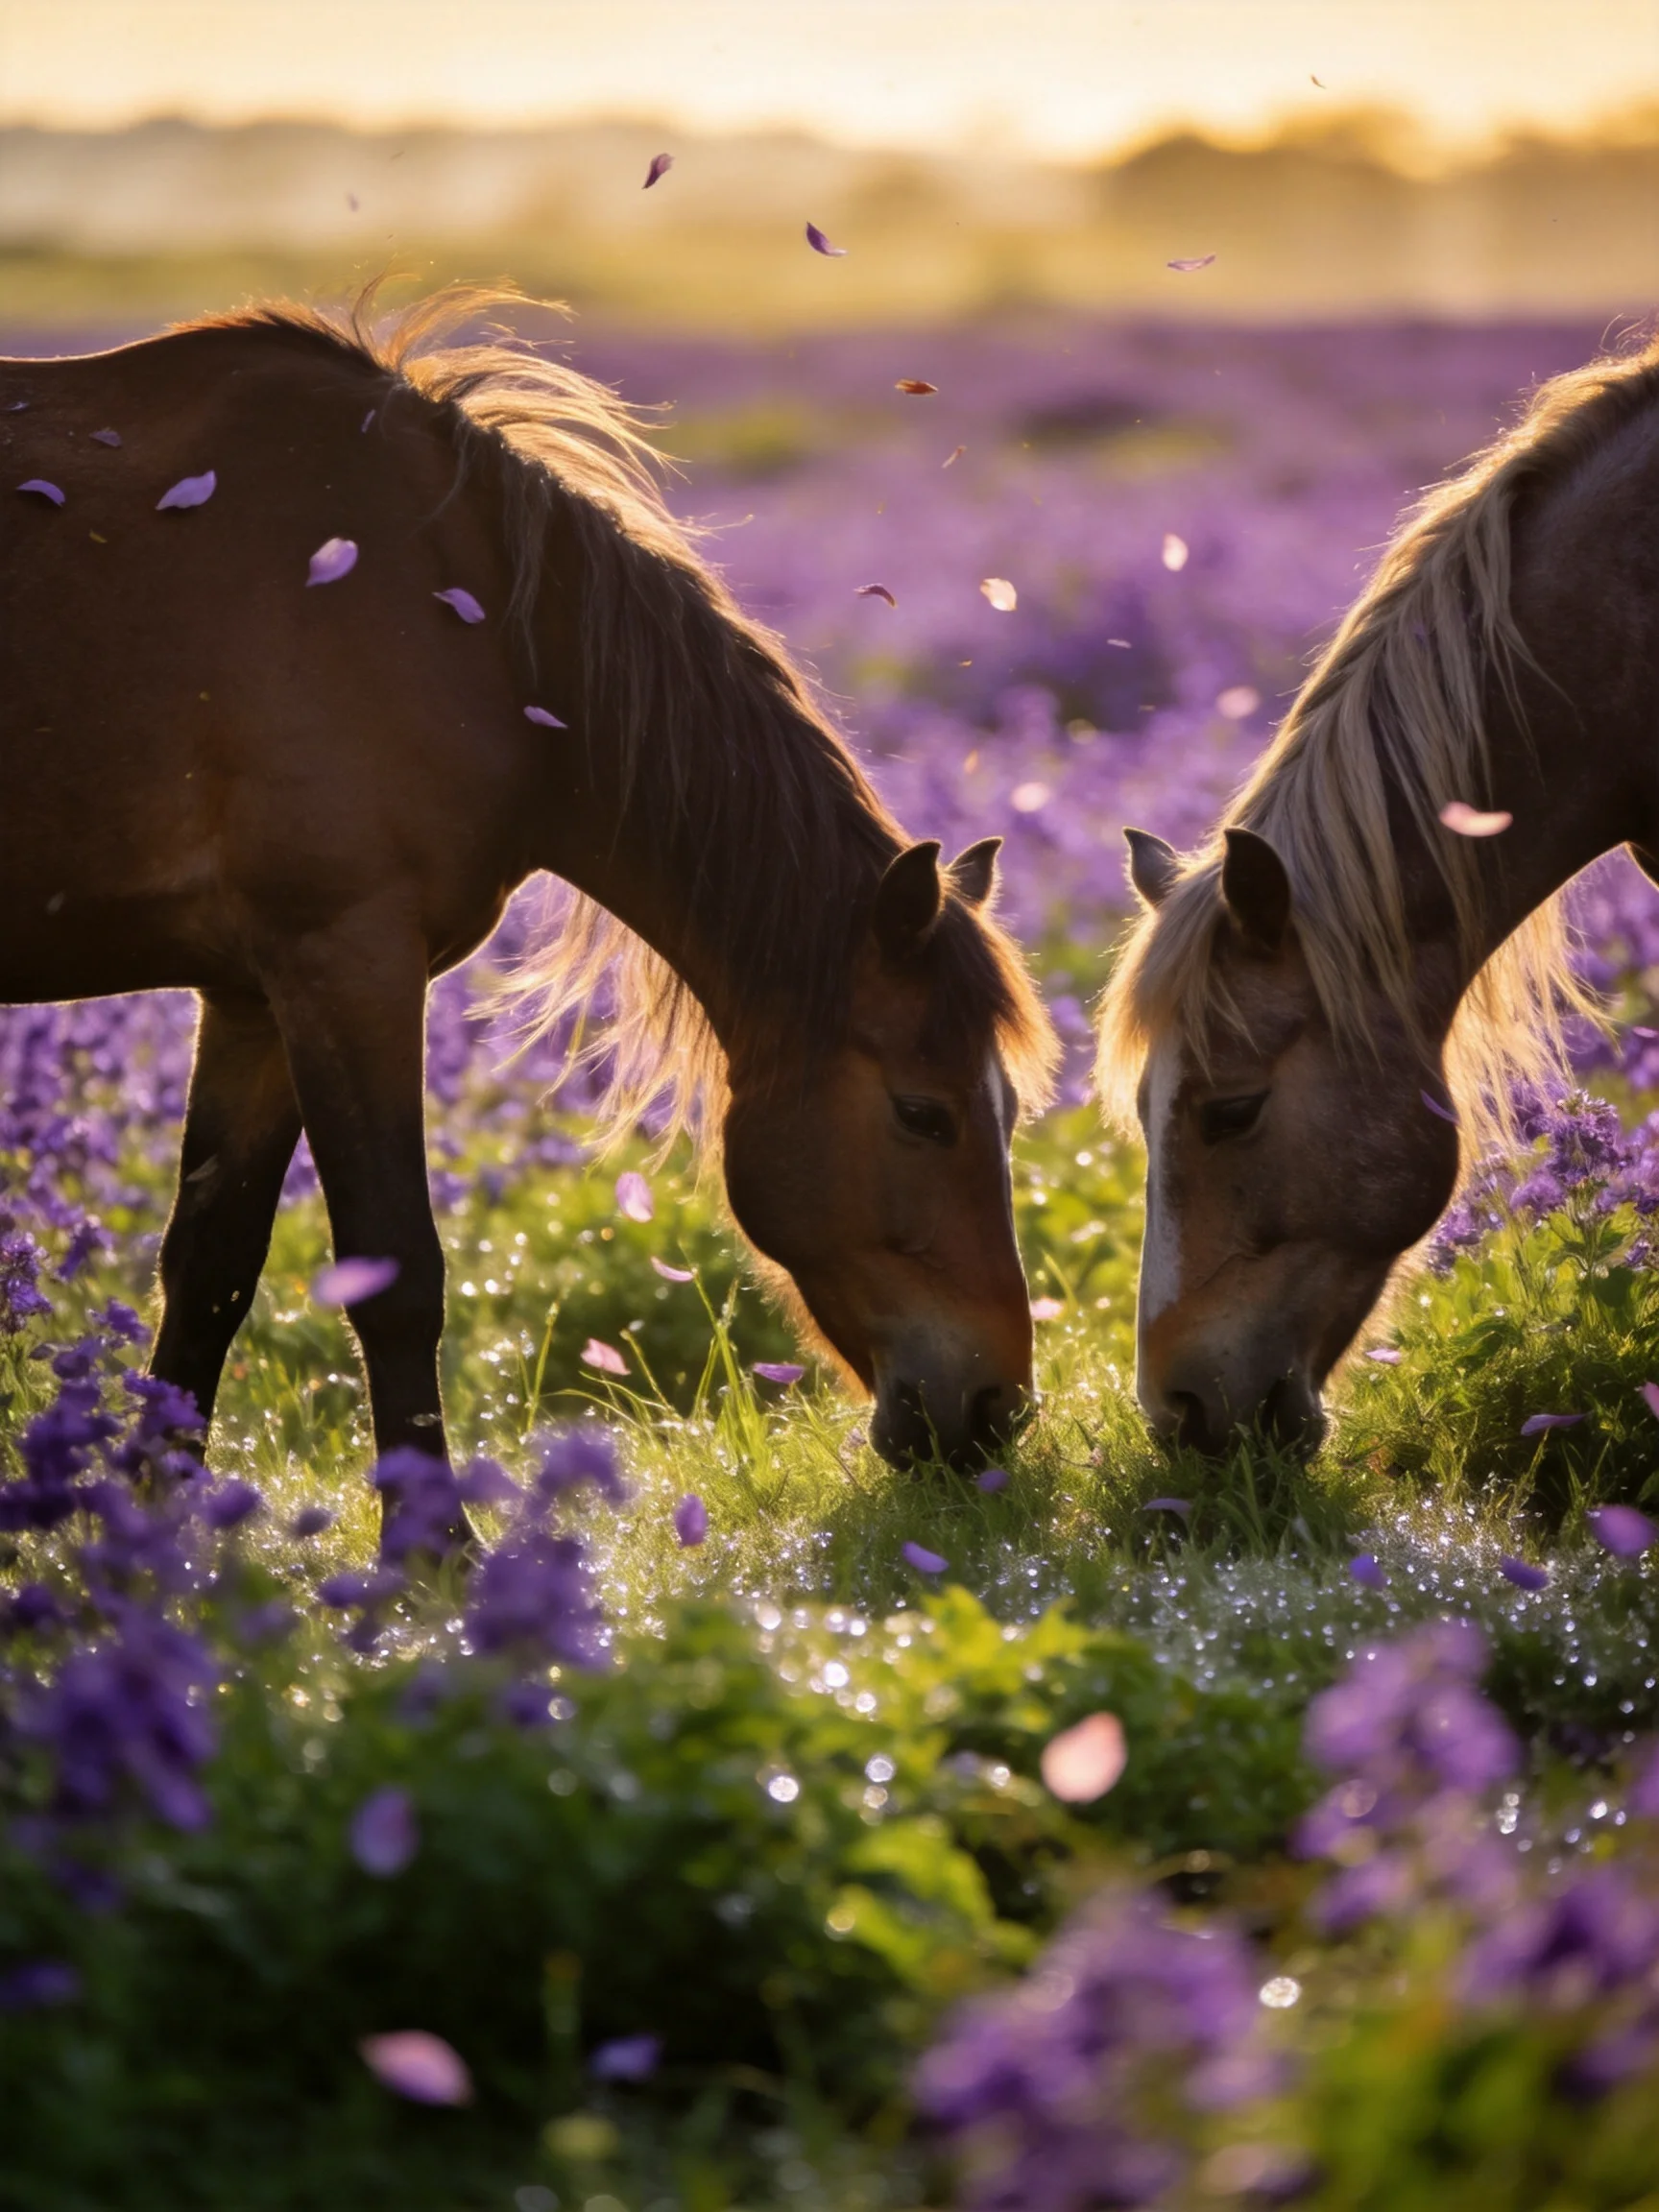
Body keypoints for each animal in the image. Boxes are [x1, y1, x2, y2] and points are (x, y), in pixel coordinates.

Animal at [0, 286, 1057, 1520]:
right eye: (923, 1114)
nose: (994, 1412)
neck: (458, 621)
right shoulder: (346, 956)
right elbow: (395, 1268)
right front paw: (432, 1547)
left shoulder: (252, 989)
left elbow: (210, 1264)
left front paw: (154, 1529)